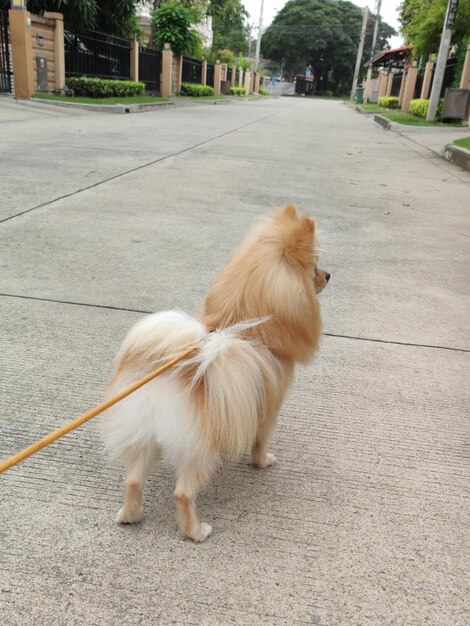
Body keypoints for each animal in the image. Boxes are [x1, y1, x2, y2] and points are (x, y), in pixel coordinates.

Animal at [102, 202, 330, 540]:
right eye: (313, 267)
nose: (329, 274)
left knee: (133, 480)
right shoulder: (269, 406)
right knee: (183, 493)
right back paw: (196, 532)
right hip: (198, 450)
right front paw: (263, 462)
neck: (243, 321)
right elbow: (260, 441)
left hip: (145, 436)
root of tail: (168, 382)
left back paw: (129, 516)